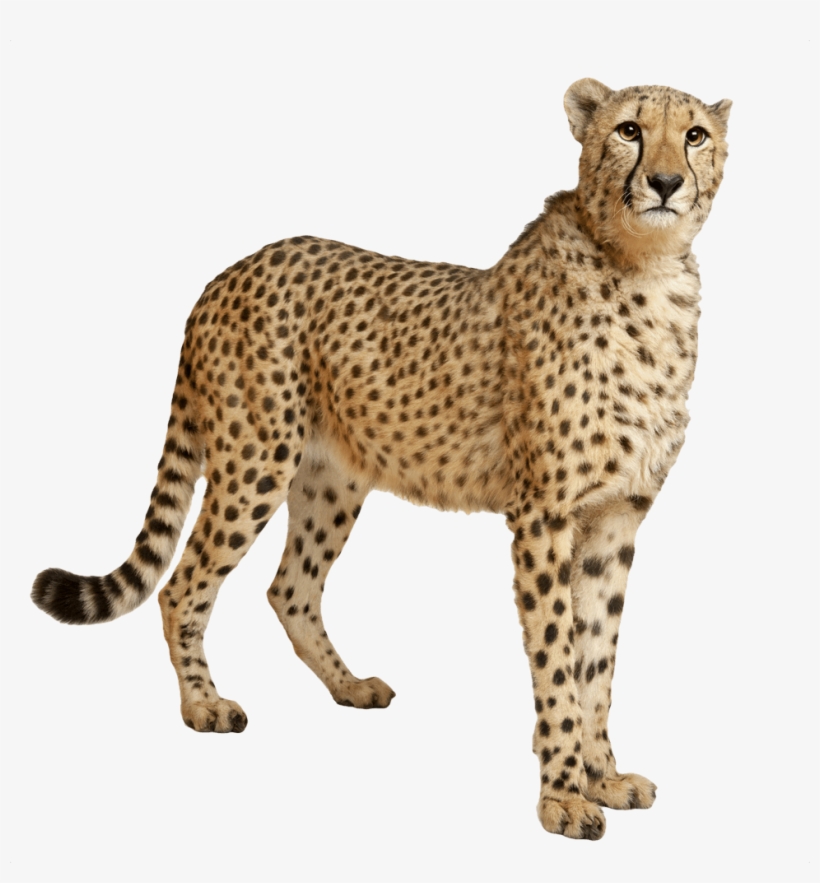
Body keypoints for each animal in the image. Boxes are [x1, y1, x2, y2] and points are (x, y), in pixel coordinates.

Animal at [32, 78, 730, 840]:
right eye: (630, 130)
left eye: (694, 135)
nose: (665, 182)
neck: (644, 269)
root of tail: (229, 271)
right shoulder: (543, 516)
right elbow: (556, 656)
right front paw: (564, 796)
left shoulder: (615, 518)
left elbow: (596, 657)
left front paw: (603, 776)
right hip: (255, 461)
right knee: (182, 584)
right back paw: (203, 706)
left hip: (330, 479)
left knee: (290, 587)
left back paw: (350, 686)